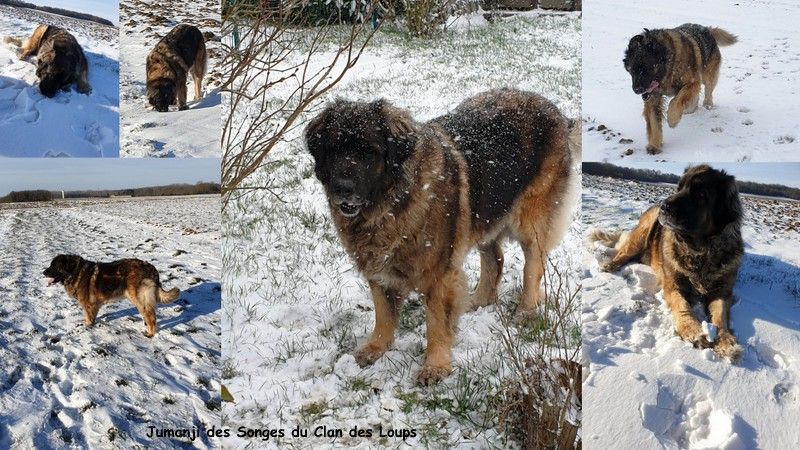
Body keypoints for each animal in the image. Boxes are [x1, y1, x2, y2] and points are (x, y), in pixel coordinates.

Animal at [43, 255, 180, 336]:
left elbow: (88, 318)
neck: (75, 272)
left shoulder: (88, 304)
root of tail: (152, 269)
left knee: (151, 317)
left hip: (139, 299)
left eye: (54, 266)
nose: (43, 272)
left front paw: (87, 327)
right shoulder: (93, 305)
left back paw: (150, 333)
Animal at [304, 89, 580, 384]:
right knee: (495, 259)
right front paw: (376, 346)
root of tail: (555, 112)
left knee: (533, 266)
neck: (392, 203)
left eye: (369, 153)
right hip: (484, 213)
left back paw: (526, 311)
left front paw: (435, 366)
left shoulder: (438, 274)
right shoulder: (379, 268)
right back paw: (478, 300)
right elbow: (383, 312)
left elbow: (436, 322)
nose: (342, 188)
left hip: (531, 221)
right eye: (334, 150)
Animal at [592, 165, 744, 358]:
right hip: (642, 233)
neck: (700, 252)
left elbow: (720, 315)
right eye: (679, 188)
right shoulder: (673, 285)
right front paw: (693, 330)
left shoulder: (722, 292)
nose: (664, 206)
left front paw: (725, 341)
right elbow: (682, 305)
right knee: (623, 253)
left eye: (701, 194)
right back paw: (610, 265)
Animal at [624, 25, 736, 155]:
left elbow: (676, 100)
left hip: (708, 75)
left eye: (646, 69)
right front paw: (654, 145)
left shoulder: (692, 83)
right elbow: (654, 121)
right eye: (631, 70)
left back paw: (707, 104)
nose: (637, 90)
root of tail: (707, 29)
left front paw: (672, 119)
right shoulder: (653, 97)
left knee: (708, 90)